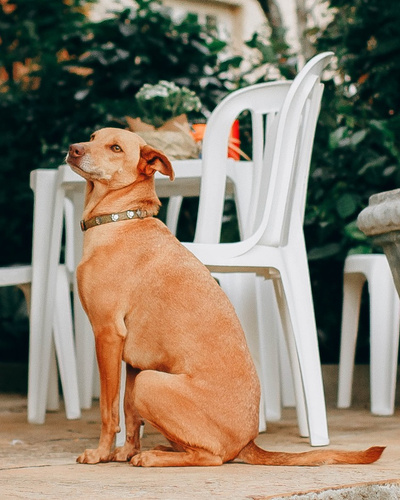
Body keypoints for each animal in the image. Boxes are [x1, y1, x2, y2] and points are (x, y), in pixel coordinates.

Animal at [66, 127, 384, 466]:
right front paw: (124, 452)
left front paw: (101, 454)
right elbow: (128, 412)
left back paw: (154, 457)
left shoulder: (108, 335)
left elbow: (109, 408)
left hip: (150, 383)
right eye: (92, 136)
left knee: (211, 457)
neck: (121, 219)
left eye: (115, 148)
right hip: (145, 377)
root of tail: (248, 441)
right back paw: (157, 450)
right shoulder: (133, 359)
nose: (73, 149)